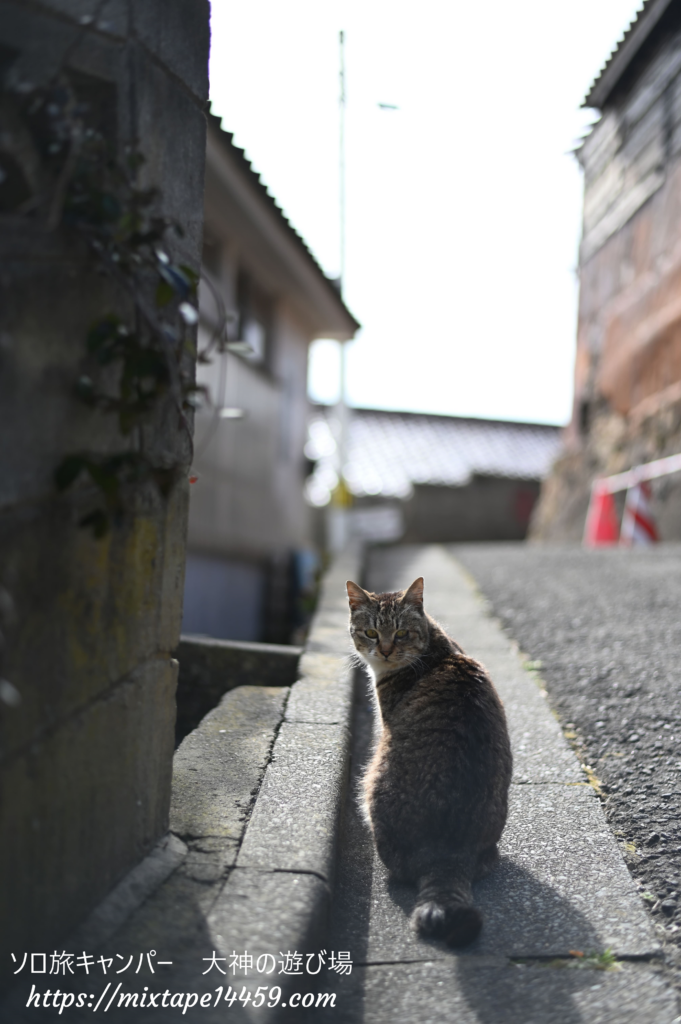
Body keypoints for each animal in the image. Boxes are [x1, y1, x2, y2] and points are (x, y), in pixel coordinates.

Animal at [346, 577, 509, 942]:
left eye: (401, 633)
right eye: (372, 633)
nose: (386, 650)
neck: (436, 650)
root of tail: (446, 854)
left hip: (372, 778)